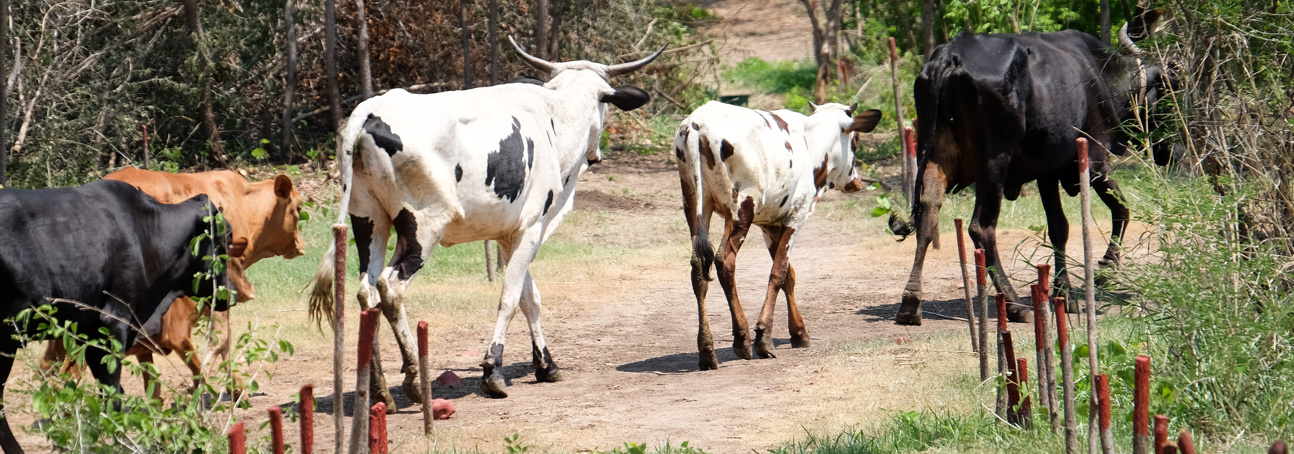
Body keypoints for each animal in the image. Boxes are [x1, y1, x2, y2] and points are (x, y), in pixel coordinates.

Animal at [0, 179, 238, 453]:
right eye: (224, 239)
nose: (231, 295)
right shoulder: (114, 324)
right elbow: (113, 397)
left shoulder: (91, 336)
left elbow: (111, 395)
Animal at [39, 167, 306, 398]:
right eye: (299, 207)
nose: (301, 246)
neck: (244, 204)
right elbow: (221, 338)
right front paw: (228, 386)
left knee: (50, 360)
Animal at [307, 37, 663, 402]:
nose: (597, 154)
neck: (554, 117)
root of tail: (370, 110)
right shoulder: (531, 229)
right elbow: (510, 298)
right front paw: (493, 370)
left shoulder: (510, 236)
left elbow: (529, 297)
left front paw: (546, 364)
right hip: (424, 225)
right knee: (390, 288)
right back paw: (415, 380)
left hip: (369, 221)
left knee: (367, 294)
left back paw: (379, 389)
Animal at [676, 101, 882, 369]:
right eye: (856, 140)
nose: (856, 182)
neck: (810, 142)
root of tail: (697, 123)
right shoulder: (796, 217)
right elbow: (779, 272)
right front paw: (764, 338)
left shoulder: (770, 225)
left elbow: (788, 277)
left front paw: (799, 332)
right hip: (742, 208)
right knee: (725, 261)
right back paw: (742, 338)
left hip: (696, 206)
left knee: (698, 267)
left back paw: (707, 350)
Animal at [888, 11, 1174, 325]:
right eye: (1168, 96)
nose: (1173, 151)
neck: (1101, 73)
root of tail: (952, 55)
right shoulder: (1095, 162)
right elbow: (1121, 209)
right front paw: (1107, 268)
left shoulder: (1047, 171)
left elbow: (1060, 227)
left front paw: (1065, 292)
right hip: (994, 164)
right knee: (981, 228)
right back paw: (1014, 304)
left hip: (935, 157)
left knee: (928, 216)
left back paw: (910, 302)